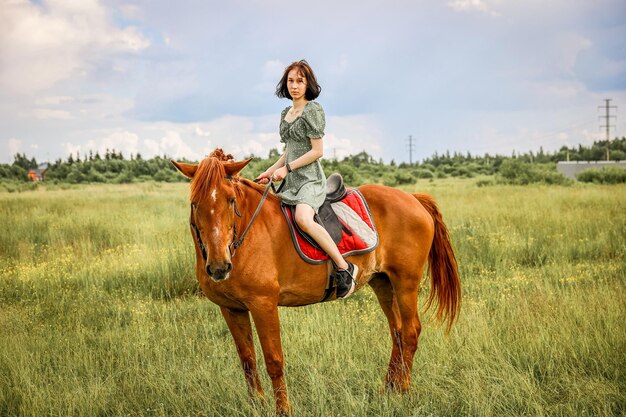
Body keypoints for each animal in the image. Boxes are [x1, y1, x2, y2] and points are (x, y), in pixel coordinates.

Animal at [171, 150, 458, 416]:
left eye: (231, 201)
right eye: (194, 204)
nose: (219, 267)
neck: (246, 234)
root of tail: (413, 198)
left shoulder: (264, 305)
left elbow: (273, 360)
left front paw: (283, 410)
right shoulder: (232, 309)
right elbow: (247, 359)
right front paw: (256, 405)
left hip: (406, 283)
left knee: (410, 332)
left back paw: (404, 391)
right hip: (383, 283)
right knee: (396, 332)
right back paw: (389, 388)